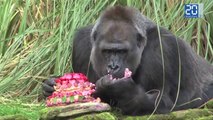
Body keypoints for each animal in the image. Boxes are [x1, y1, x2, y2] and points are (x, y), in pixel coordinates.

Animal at [42, 5, 213, 115]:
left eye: (122, 52)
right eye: (107, 51)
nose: (113, 66)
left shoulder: (163, 47)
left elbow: (162, 100)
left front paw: (122, 90)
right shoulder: (82, 42)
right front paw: (50, 85)